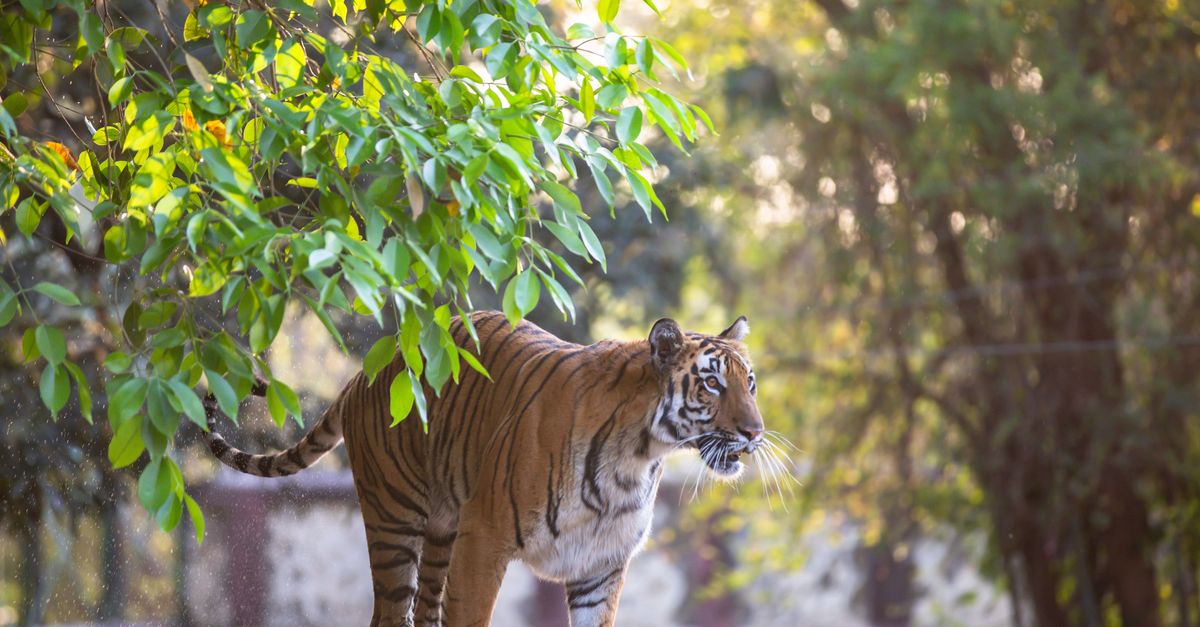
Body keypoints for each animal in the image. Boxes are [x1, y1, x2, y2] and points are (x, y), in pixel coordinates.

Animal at [203, 310, 765, 627]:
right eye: (712, 383)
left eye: (751, 383)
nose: (756, 432)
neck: (639, 456)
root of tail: (363, 373)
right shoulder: (485, 541)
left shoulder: (601, 565)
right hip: (395, 521)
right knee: (390, 613)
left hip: (442, 531)